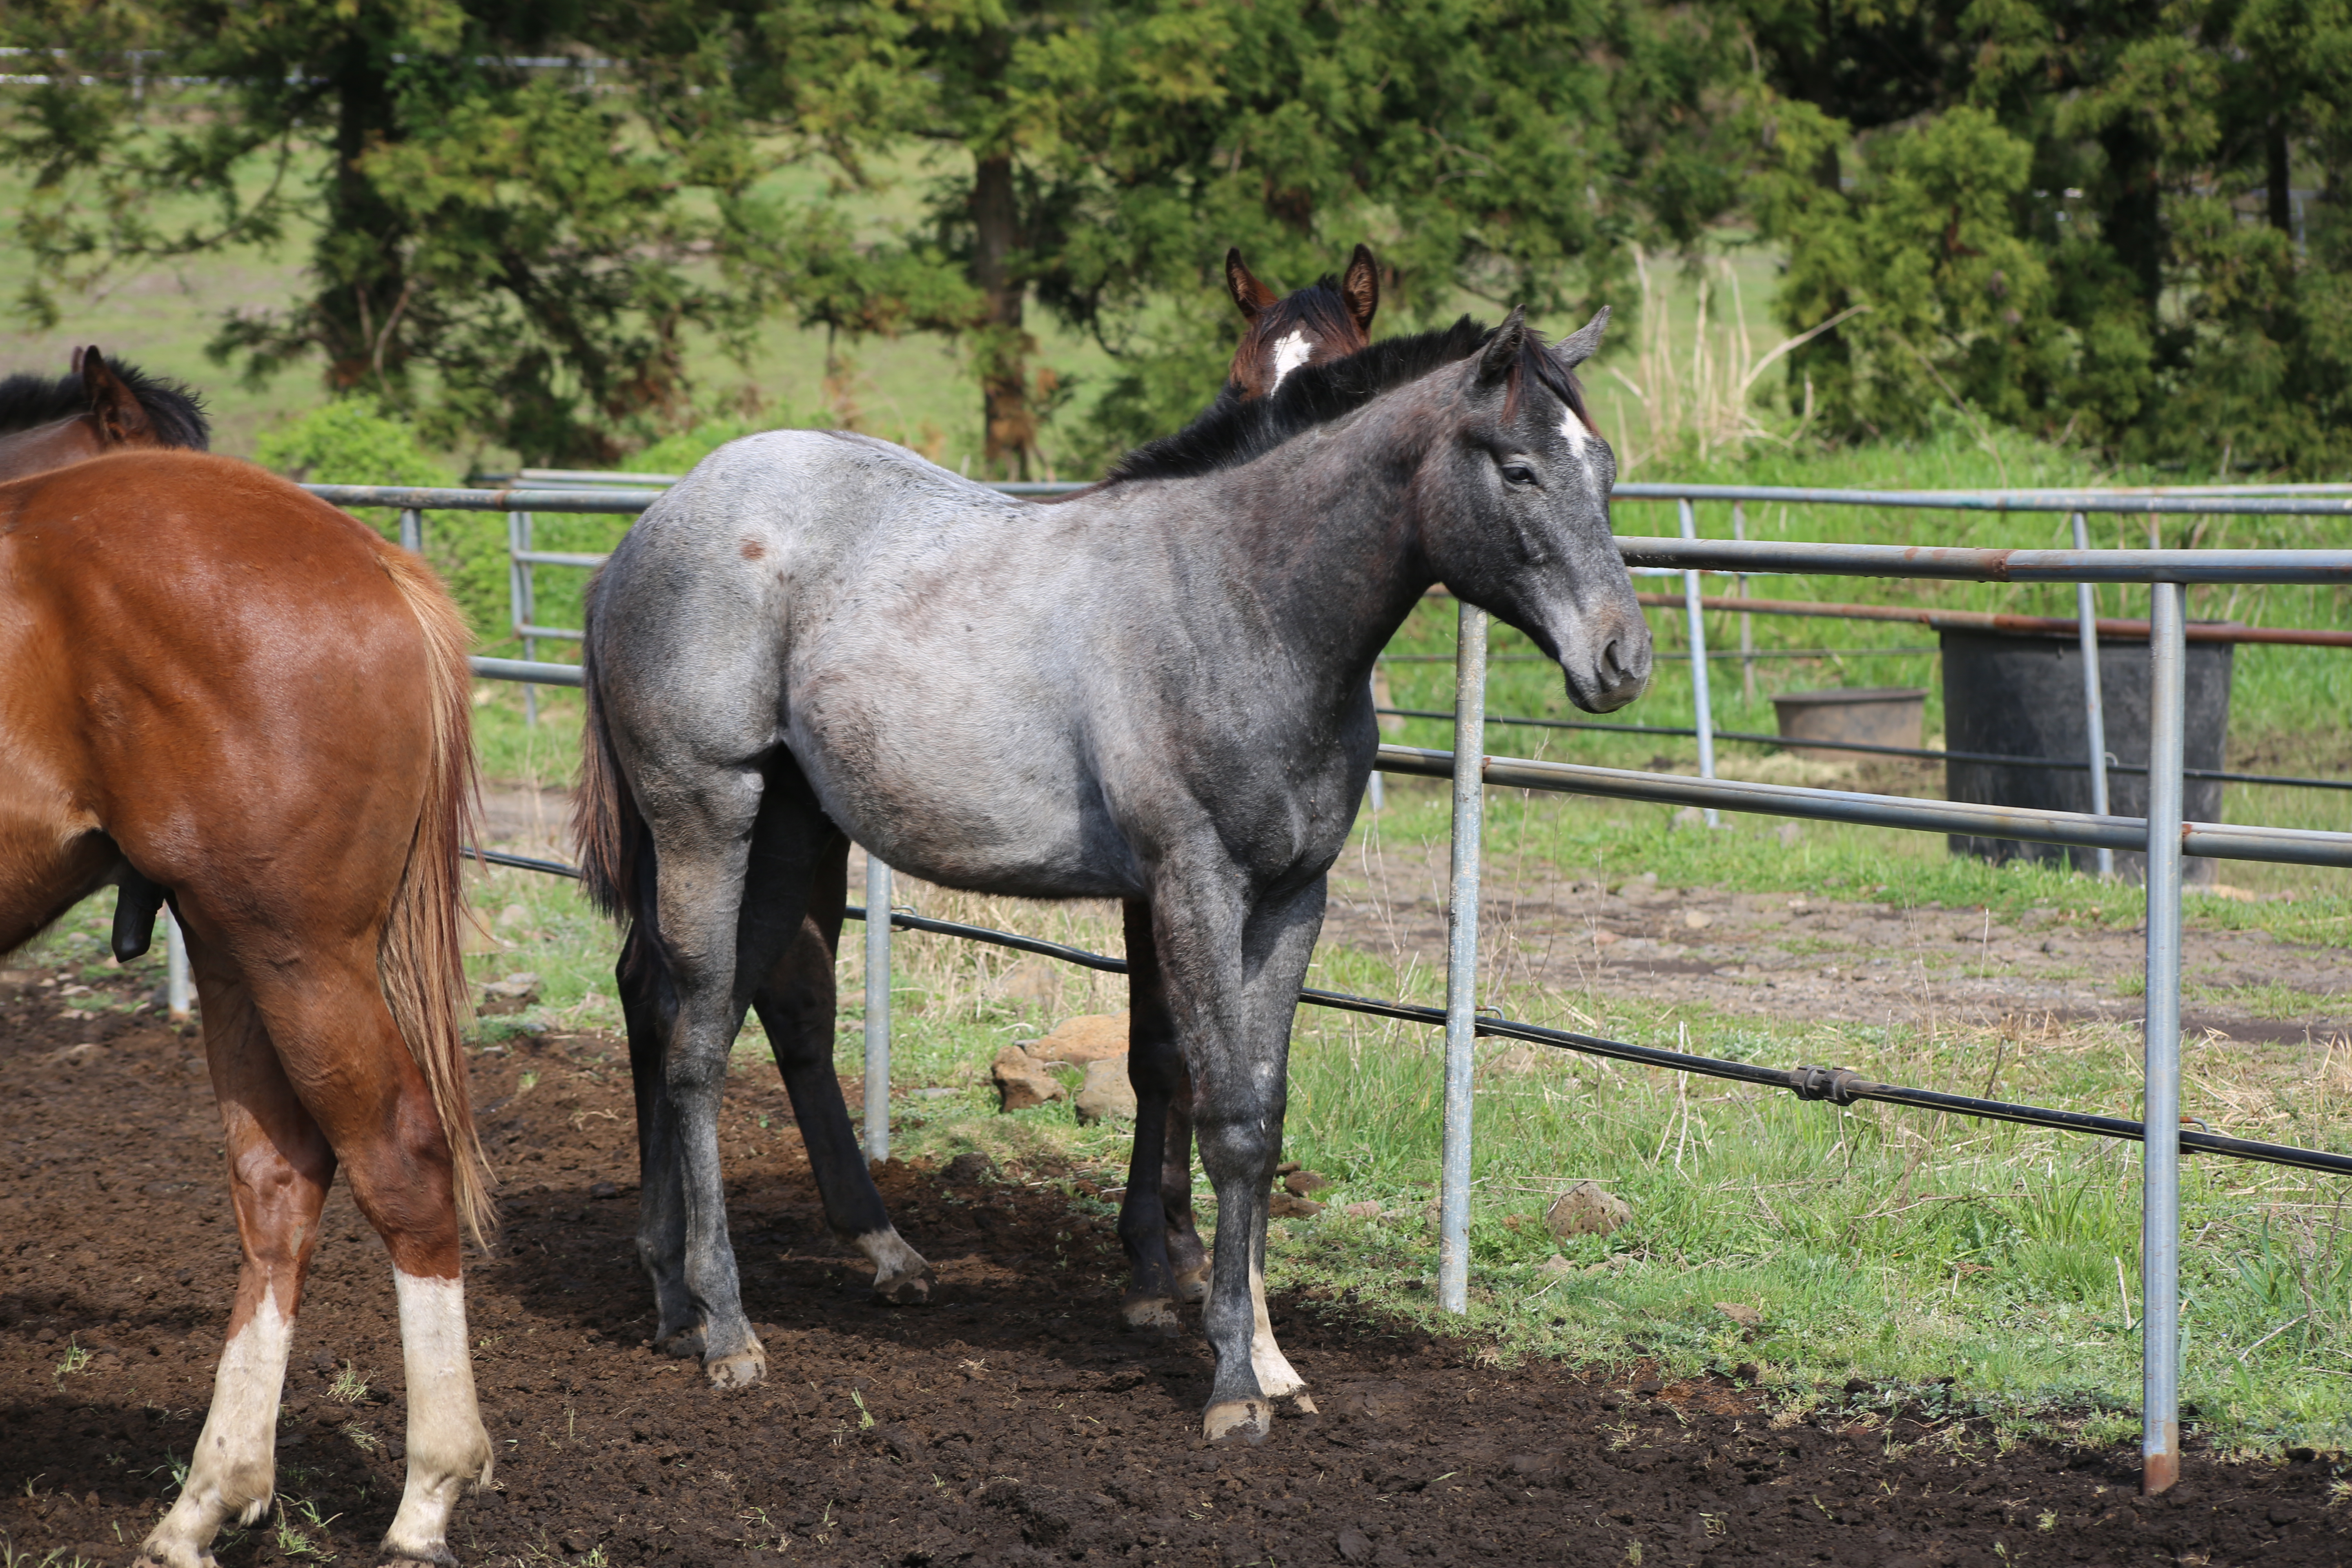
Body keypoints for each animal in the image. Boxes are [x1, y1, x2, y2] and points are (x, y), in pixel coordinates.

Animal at [0, 446, 496, 1561]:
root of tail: (372, 563)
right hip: (234, 948)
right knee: (280, 1178)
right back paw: (208, 1497)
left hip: (298, 953)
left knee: (399, 1158)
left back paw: (427, 1495)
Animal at [571, 305, 1646, 1448]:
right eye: (1519, 469)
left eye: (1605, 469)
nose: (1623, 659)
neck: (1243, 602)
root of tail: (644, 533)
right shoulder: (1192, 884)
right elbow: (1224, 1118)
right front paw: (1229, 1384)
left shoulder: (1290, 901)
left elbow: (1263, 1114)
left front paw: (1271, 1360)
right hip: (708, 820)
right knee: (694, 1048)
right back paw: (728, 1330)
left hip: (785, 832)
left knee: (697, 1006)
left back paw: (681, 1301)